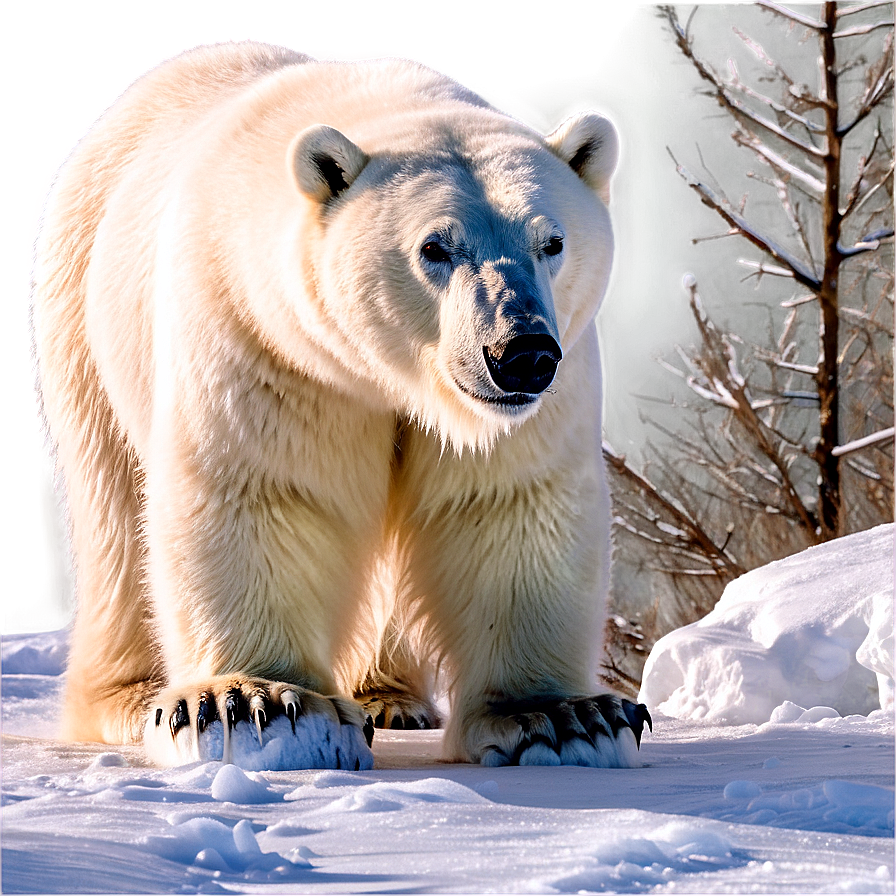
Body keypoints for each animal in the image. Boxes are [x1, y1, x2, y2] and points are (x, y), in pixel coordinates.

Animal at [30, 40, 650, 770]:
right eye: (435, 247)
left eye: (551, 241)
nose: (521, 352)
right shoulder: (268, 344)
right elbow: (265, 489)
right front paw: (255, 702)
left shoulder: (541, 393)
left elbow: (505, 501)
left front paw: (561, 717)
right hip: (83, 317)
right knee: (114, 511)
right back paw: (130, 697)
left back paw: (392, 697)